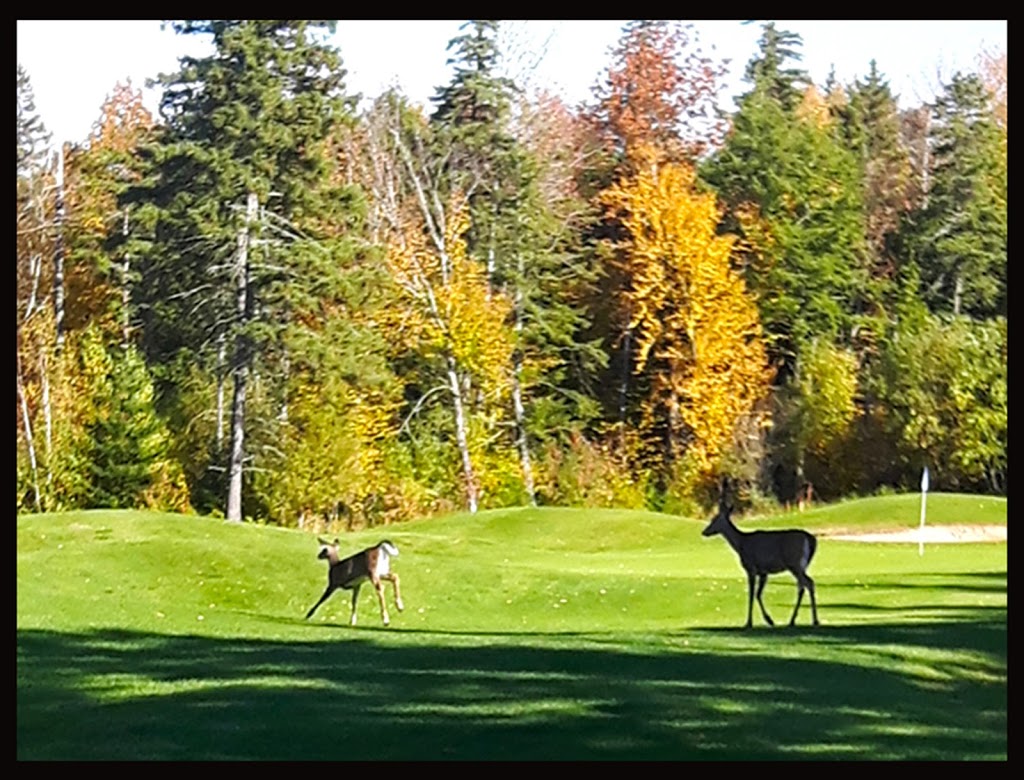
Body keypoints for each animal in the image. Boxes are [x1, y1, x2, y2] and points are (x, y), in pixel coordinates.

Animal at [700, 483, 819, 630]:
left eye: (714, 519)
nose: (704, 532)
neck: (741, 543)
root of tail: (811, 539)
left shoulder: (751, 568)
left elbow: (751, 594)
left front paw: (749, 622)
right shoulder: (763, 572)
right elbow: (758, 594)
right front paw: (769, 620)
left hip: (794, 562)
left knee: (808, 583)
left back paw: (812, 620)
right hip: (802, 565)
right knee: (803, 586)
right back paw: (795, 620)